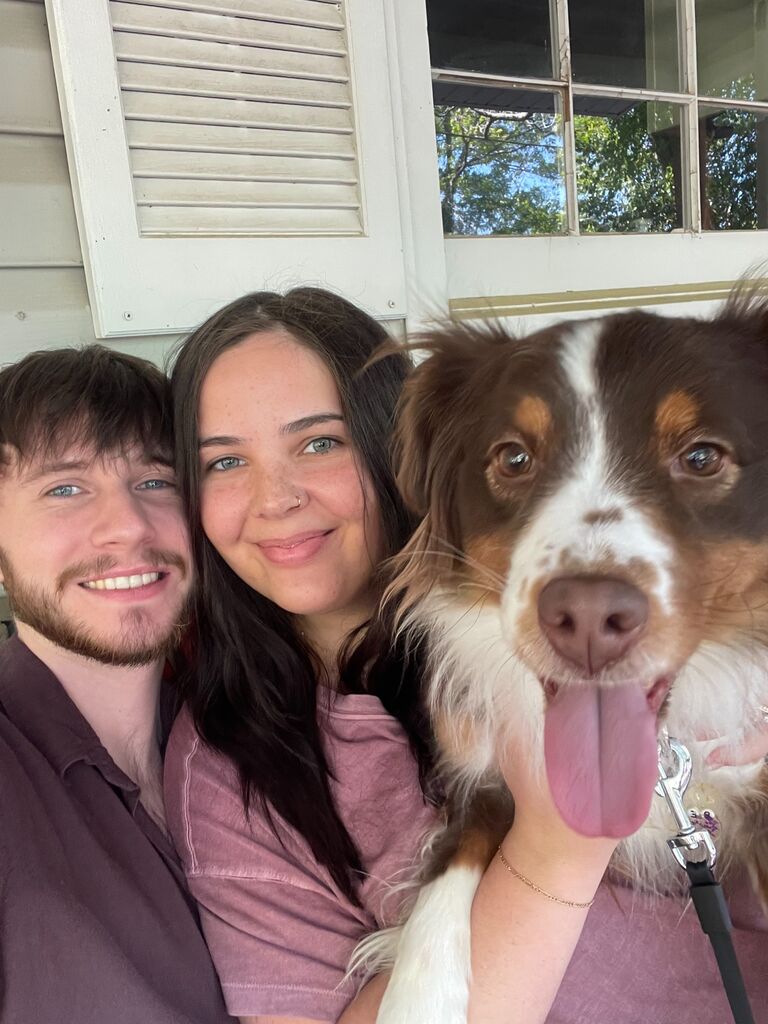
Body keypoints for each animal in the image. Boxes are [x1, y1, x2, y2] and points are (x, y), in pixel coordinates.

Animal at [362, 286, 768, 1024]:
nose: (586, 619)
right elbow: (447, 865)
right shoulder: (478, 771)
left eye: (702, 457)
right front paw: (417, 996)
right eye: (514, 459)